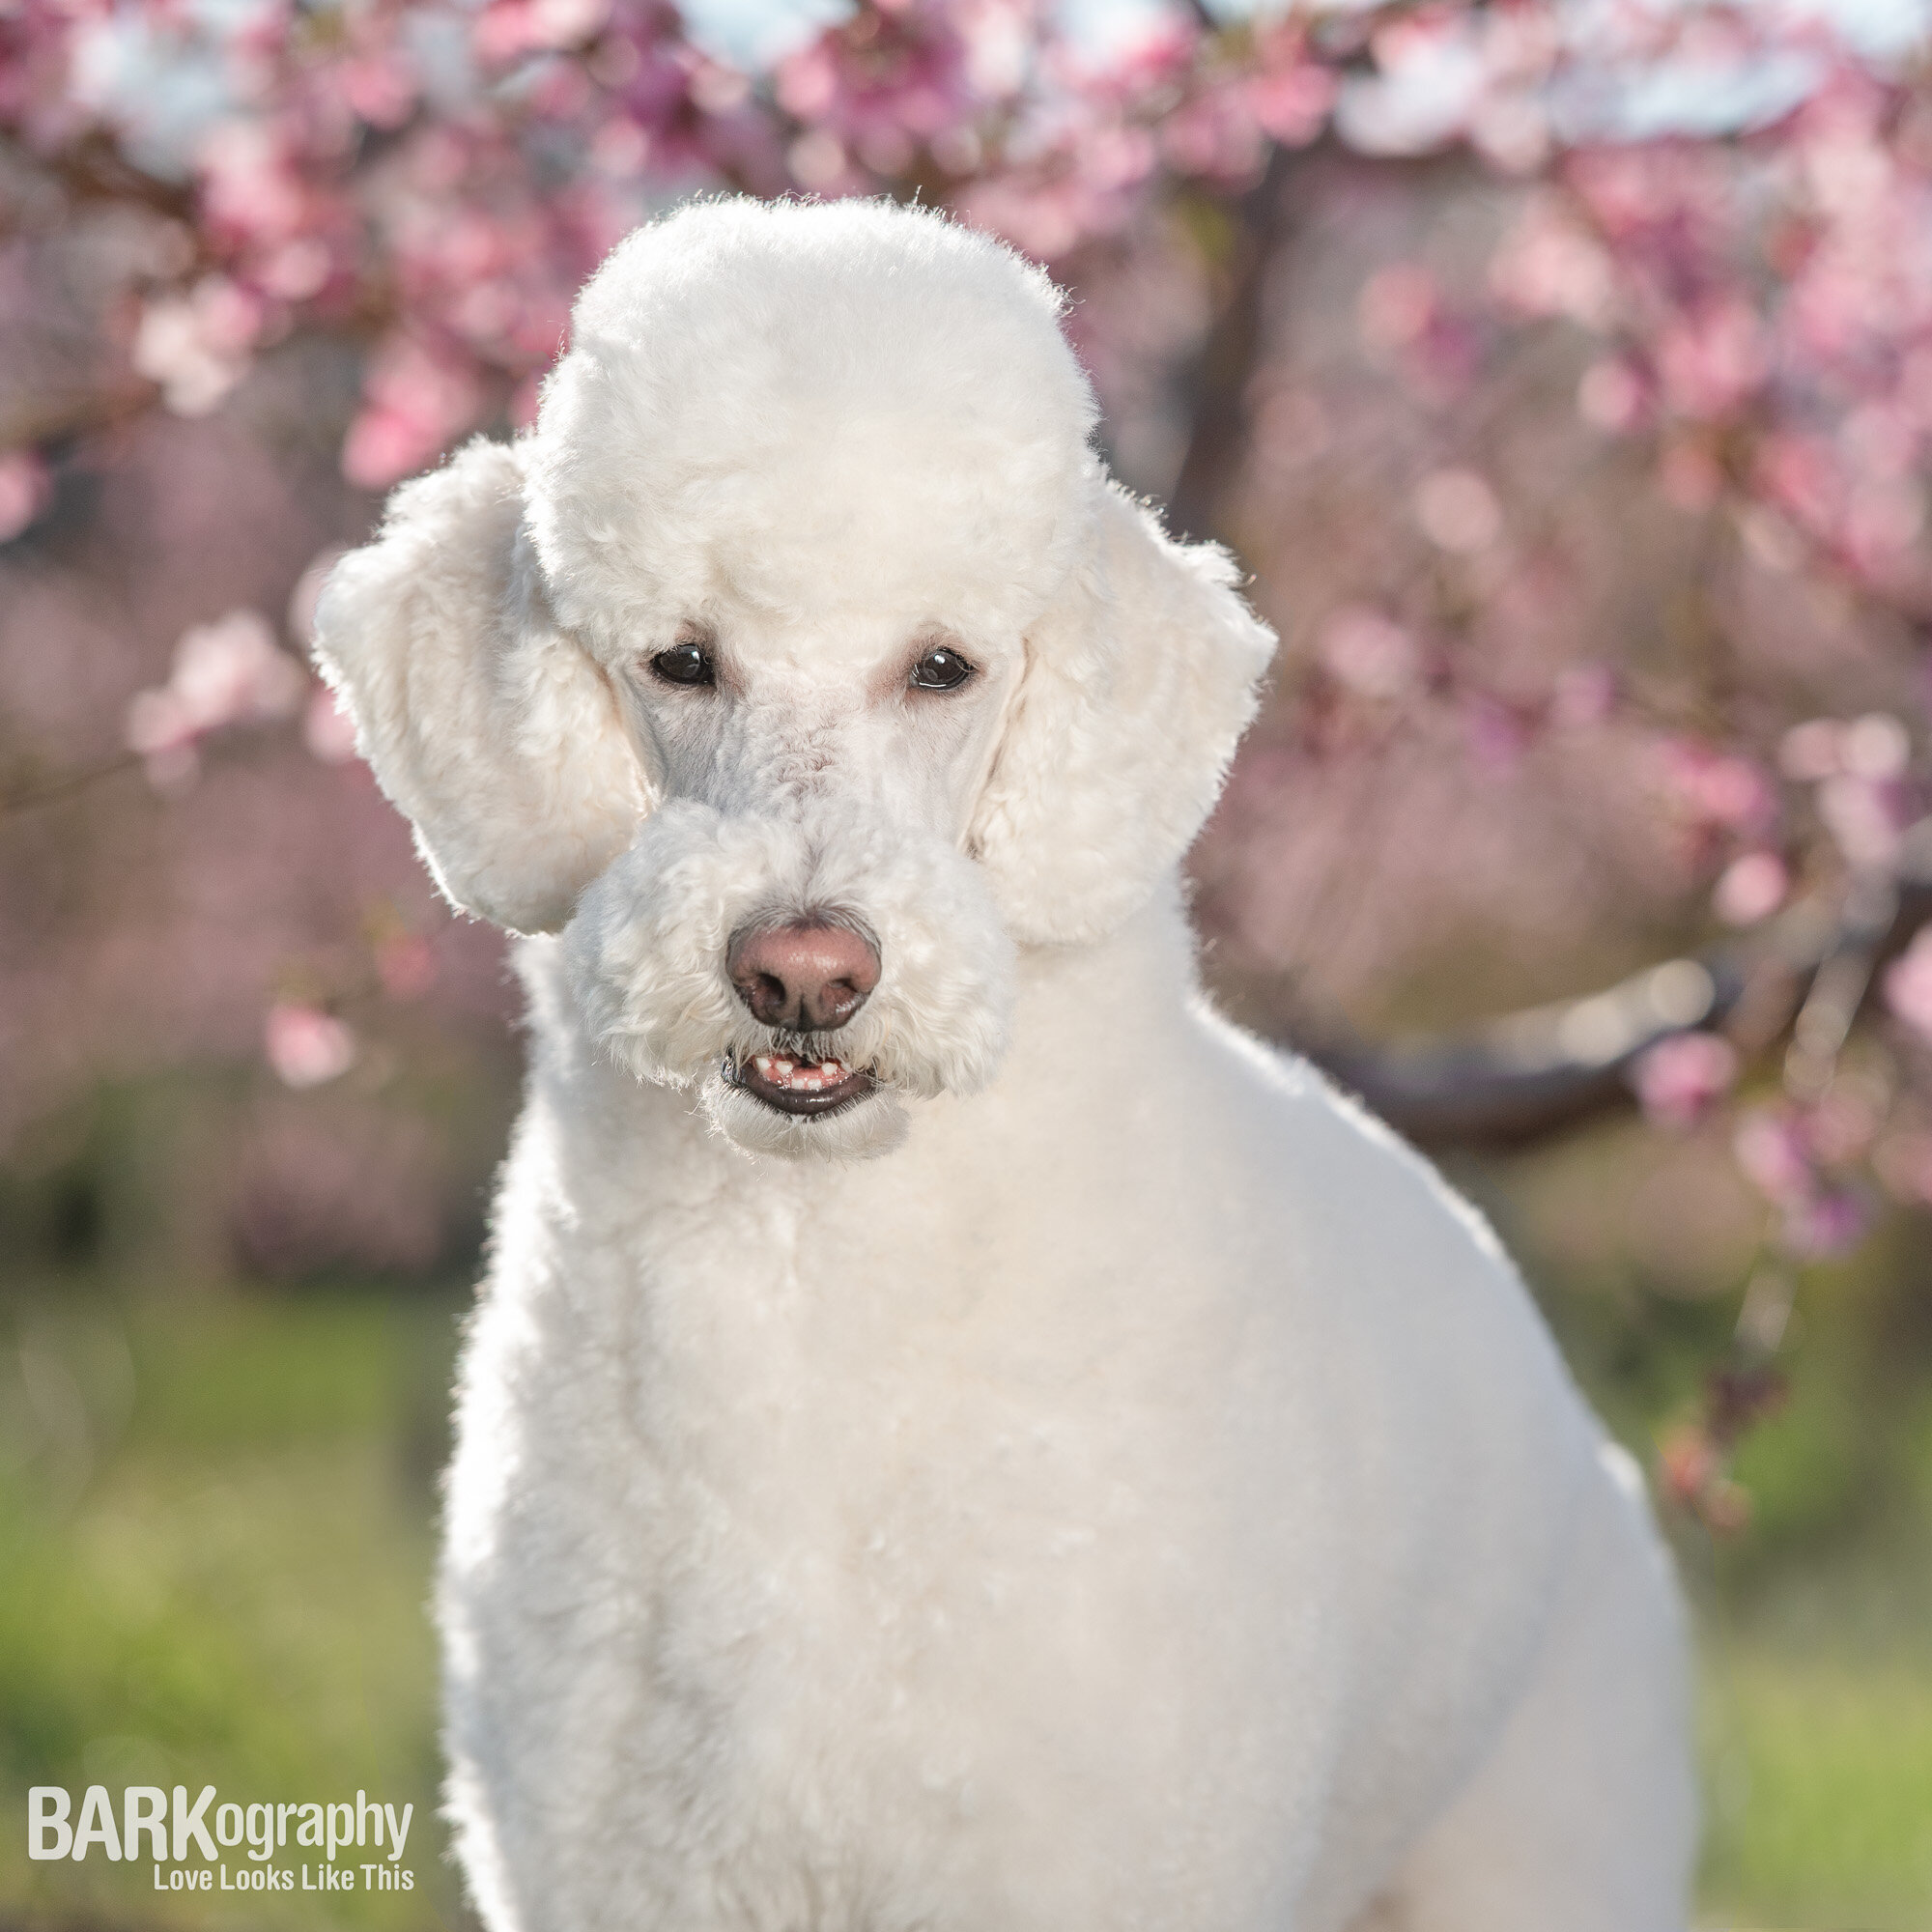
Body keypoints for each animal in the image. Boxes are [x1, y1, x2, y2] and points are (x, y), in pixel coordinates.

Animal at [313, 196, 1692, 1932]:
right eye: (681, 660)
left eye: (944, 667)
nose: (804, 970)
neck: (813, 1276)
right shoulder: (626, 1868)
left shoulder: (1091, 1857)